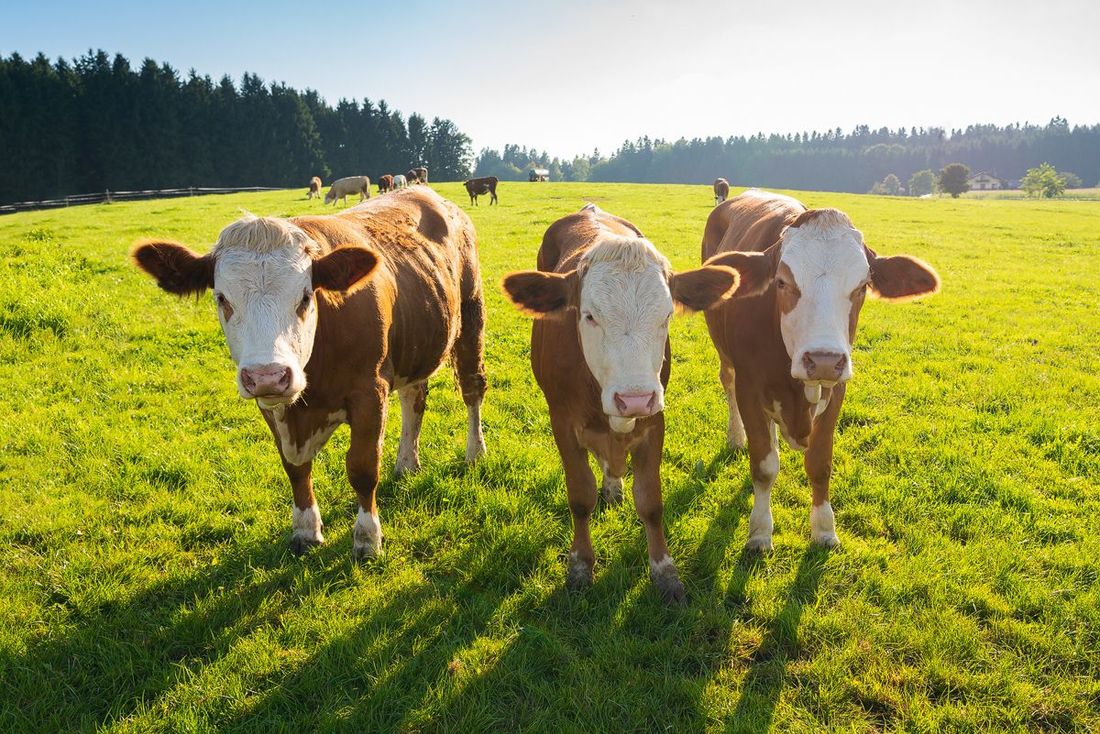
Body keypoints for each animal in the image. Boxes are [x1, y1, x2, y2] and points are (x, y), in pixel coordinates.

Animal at [131, 186, 488, 561]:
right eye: (222, 298)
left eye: (305, 297)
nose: (268, 375)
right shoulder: (273, 406)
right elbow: (294, 467)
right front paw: (305, 529)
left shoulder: (370, 392)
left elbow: (362, 468)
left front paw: (368, 537)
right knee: (413, 398)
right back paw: (407, 462)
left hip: (471, 313)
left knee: (472, 389)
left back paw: (475, 452)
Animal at [501, 203, 750, 603]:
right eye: (589, 315)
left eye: (667, 315)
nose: (634, 398)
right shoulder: (562, 423)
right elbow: (580, 496)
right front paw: (580, 566)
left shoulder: (654, 421)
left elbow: (650, 501)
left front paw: (665, 572)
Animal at [699, 190, 940, 552]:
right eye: (781, 282)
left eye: (863, 285)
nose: (823, 359)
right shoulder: (749, 387)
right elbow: (764, 466)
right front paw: (760, 531)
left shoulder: (836, 388)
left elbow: (820, 464)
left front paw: (825, 529)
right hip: (725, 355)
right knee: (727, 383)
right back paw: (736, 437)